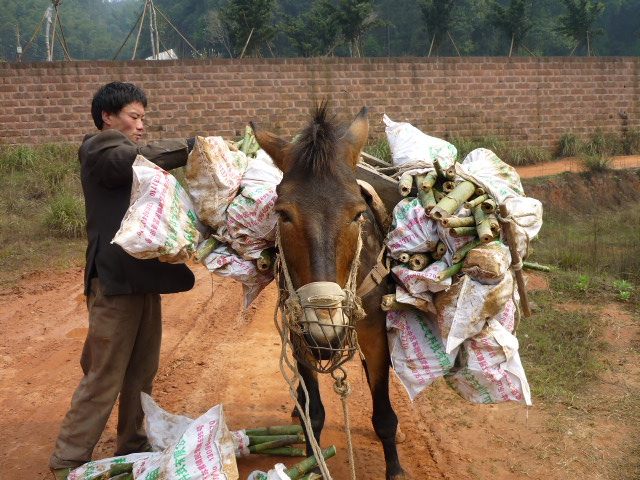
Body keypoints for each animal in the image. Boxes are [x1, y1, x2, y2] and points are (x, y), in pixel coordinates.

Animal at [250, 105, 404, 480]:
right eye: (282, 214)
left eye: (358, 214)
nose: (326, 340)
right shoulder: (298, 331)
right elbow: (315, 413)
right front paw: (313, 462)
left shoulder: (374, 333)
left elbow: (384, 415)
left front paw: (395, 469)